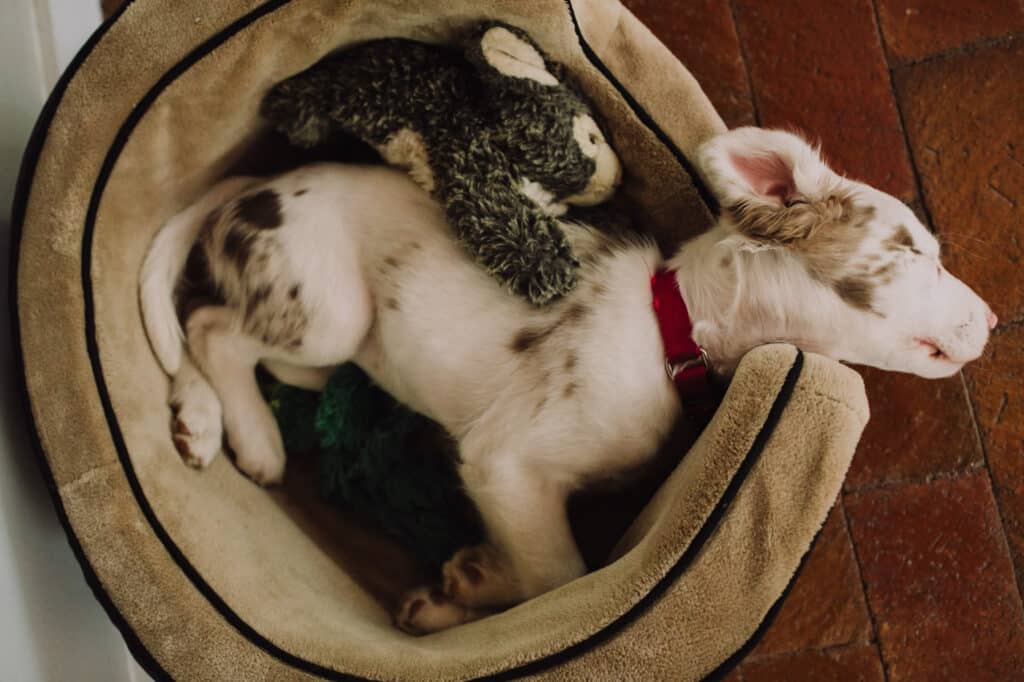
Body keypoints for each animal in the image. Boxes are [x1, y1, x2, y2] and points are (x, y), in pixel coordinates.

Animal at [140, 127, 995, 630]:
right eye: (911, 251)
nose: (991, 323)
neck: (670, 329)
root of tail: (252, 186)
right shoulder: (505, 464)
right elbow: (555, 576)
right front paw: (472, 595)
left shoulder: (504, 484)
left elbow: (526, 565)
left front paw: (463, 586)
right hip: (330, 315)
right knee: (210, 326)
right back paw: (252, 440)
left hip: (322, 363)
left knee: (219, 334)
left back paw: (198, 419)